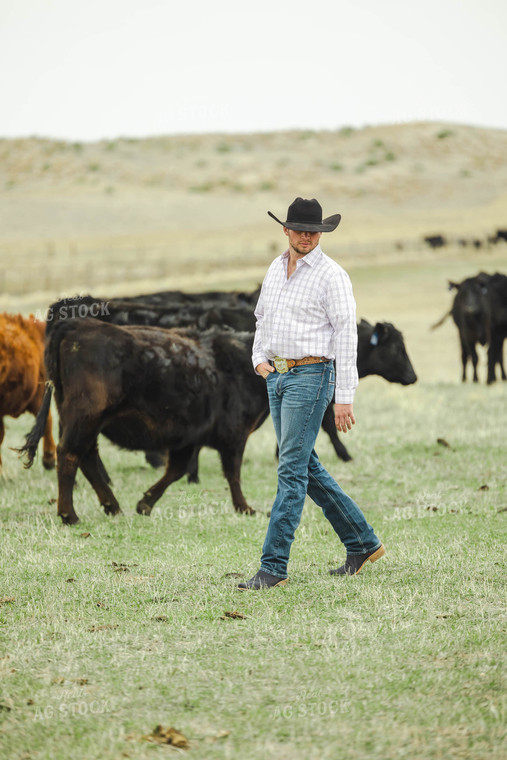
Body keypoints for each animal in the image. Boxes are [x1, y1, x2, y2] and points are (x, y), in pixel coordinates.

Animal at [18, 320, 270, 524]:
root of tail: (77, 325)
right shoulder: (234, 435)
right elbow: (232, 473)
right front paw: (245, 508)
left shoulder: (188, 439)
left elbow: (176, 470)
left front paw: (145, 504)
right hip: (84, 419)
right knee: (69, 455)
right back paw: (69, 515)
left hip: (84, 422)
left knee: (87, 457)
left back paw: (112, 507)